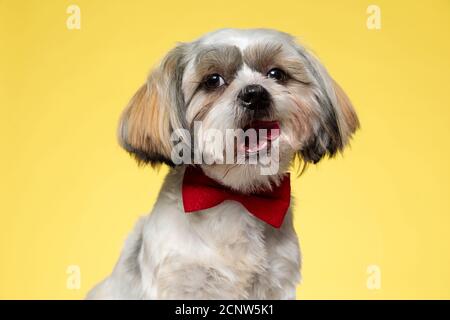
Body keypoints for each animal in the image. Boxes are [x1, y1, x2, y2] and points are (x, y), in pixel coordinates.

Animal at [87, 28, 358, 300]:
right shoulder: (180, 281)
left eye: (276, 74)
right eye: (213, 80)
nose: (254, 93)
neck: (235, 196)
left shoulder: (278, 280)